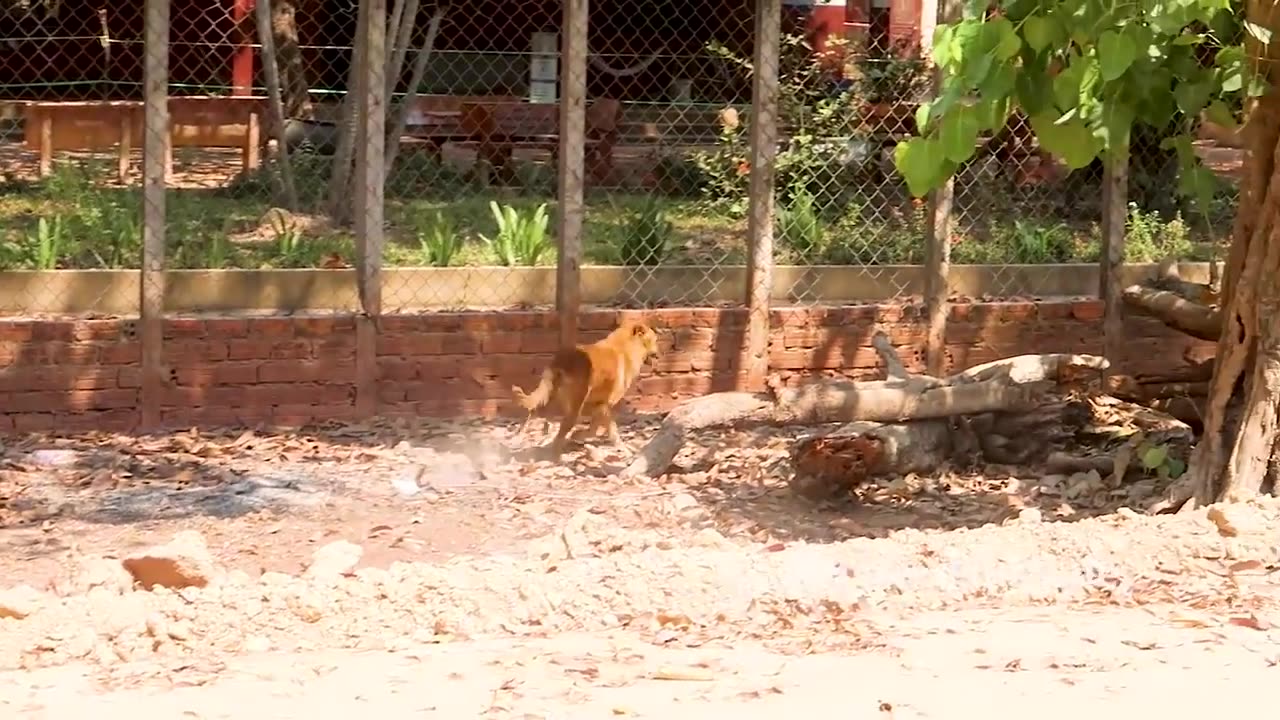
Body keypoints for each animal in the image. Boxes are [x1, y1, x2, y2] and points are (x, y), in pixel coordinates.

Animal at [512, 319, 660, 453]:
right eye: (655, 340)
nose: (659, 354)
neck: (627, 346)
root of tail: (562, 360)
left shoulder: (598, 405)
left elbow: (595, 429)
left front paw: (578, 435)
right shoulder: (604, 405)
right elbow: (606, 430)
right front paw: (623, 449)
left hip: (548, 400)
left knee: (531, 417)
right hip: (574, 408)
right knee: (560, 433)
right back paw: (555, 457)